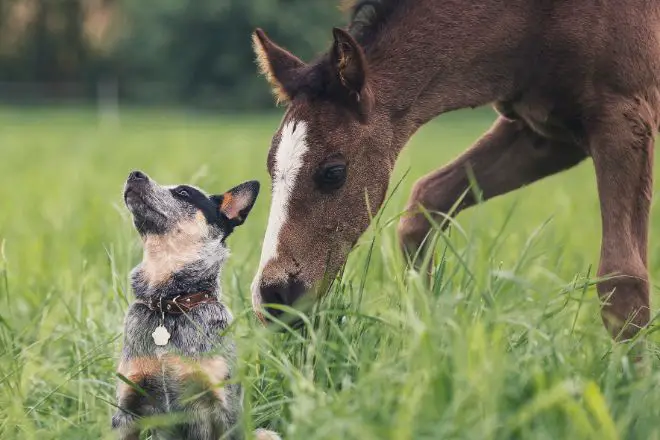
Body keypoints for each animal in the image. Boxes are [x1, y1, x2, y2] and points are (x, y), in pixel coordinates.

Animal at [250, 0, 656, 340]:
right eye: (271, 167)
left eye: (334, 172)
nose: (272, 296)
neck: (536, 21)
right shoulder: (546, 136)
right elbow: (424, 204)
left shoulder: (624, 119)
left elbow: (623, 279)